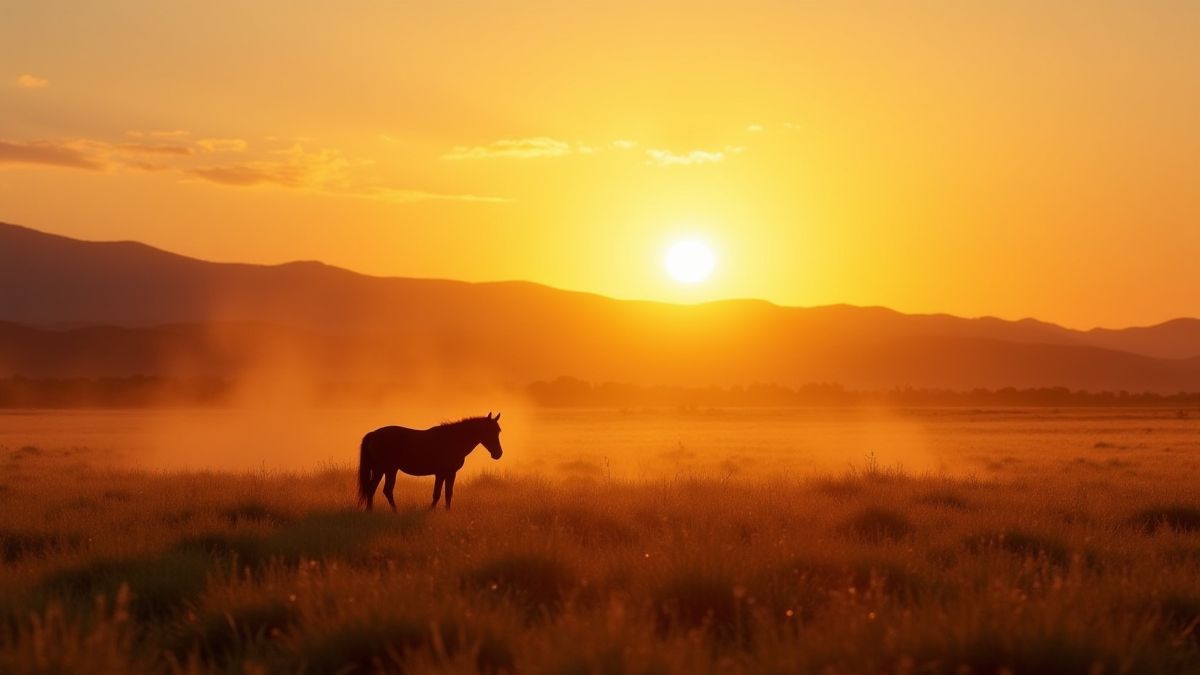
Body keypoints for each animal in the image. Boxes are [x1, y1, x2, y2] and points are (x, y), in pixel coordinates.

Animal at [357, 412, 503, 511]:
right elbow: (439, 494)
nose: (498, 454)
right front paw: (432, 510)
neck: (453, 440)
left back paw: (371, 512)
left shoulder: (446, 474)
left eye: (498, 431)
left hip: (381, 470)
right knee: (384, 490)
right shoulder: (445, 473)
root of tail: (374, 434)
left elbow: (446, 494)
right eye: (489, 431)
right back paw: (393, 512)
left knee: (373, 489)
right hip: (388, 469)